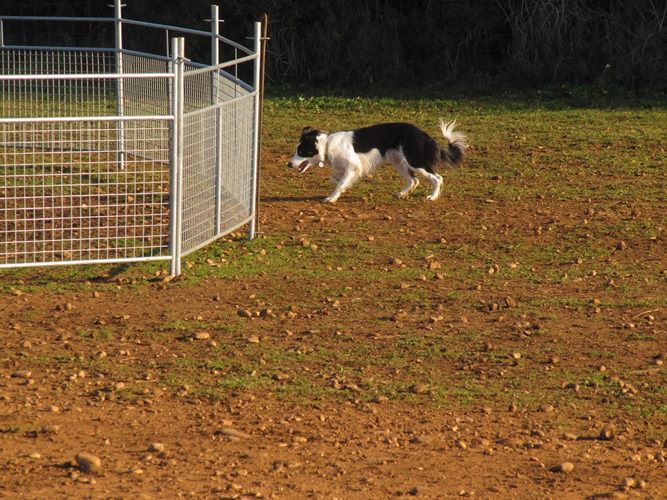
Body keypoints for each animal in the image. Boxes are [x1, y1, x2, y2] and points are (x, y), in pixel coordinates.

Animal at [288, 119, 470, 203]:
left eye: (301, 151)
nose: (288, 164)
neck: (327, 145)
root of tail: (423, 134)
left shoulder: (354, 165)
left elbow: (339, 183)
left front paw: (332, 197)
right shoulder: (345, 167)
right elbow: (336, 178)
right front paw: (341, 185)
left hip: (415, 161)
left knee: (437, 178)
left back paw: (432, 196)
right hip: (398, 161)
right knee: (414, 180)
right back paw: (403, 193)